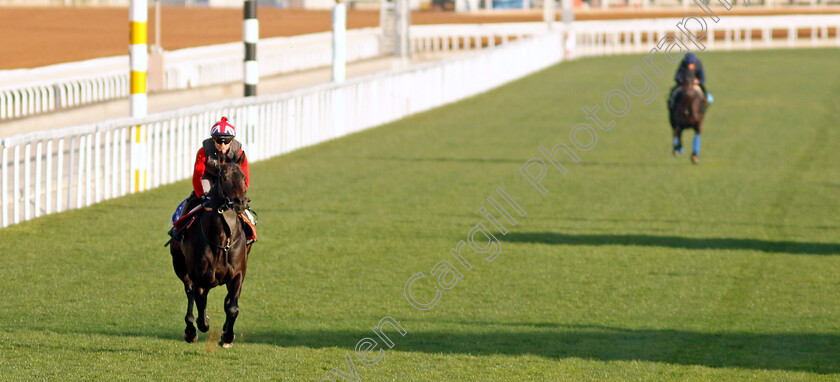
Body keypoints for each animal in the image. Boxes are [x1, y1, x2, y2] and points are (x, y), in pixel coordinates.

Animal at [169, 163, 251, 348]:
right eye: (225, 178)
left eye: (244, 177)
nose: (241, 202)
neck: (221, 239)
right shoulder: (199, 276)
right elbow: (200, 307)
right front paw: (202, 323)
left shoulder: (237, 274)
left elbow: (232, 307)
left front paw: (227, 336)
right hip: (179, 265)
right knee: (190, 292)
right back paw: (190, 330)